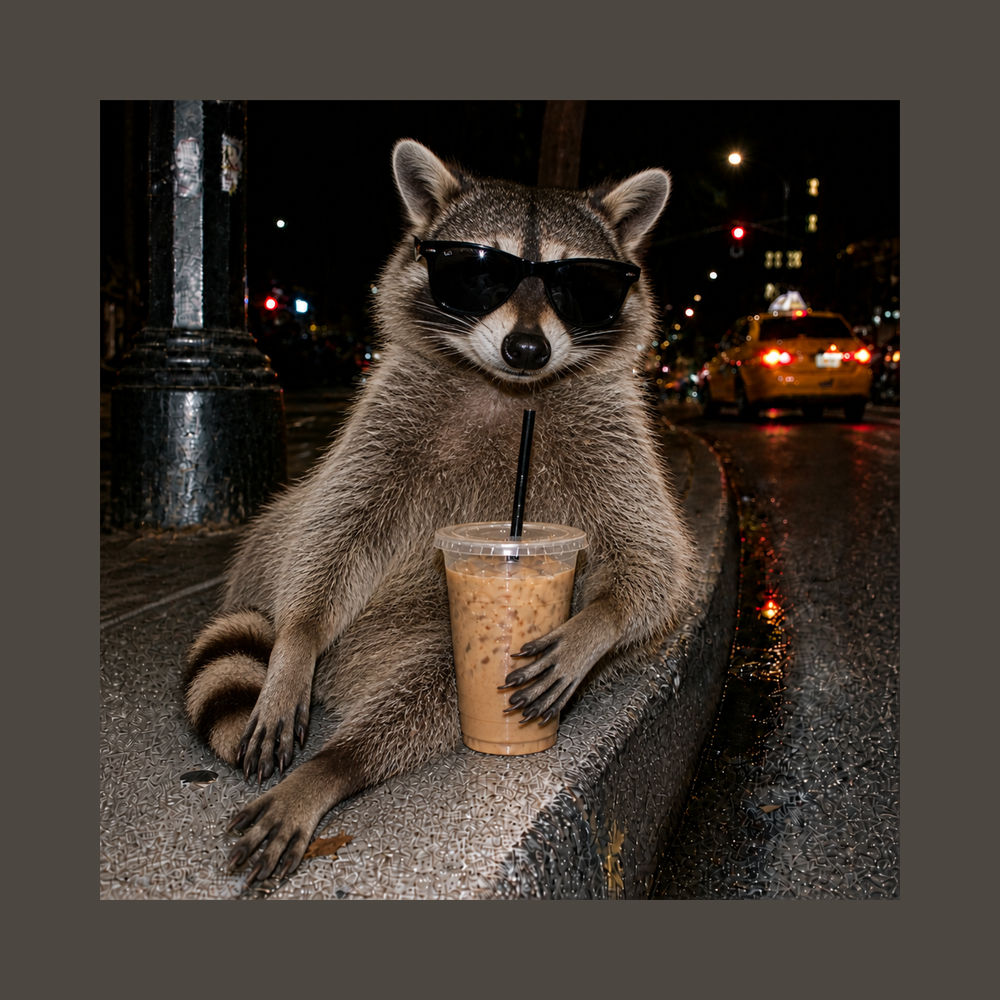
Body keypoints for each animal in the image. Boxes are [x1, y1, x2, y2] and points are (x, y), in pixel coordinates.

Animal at [184, 139, 697, 885]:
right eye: (479, 270)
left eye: (579, 284)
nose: (527, 348)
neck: (508, 389)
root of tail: (350, 673)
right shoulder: (388, 417)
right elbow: (337, 526)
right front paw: (297, 638)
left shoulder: (614, 436)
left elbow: (653, 559)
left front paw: (598, 619)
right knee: (300, 527)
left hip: (431, 638)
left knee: (429, 697)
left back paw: (338, 763)